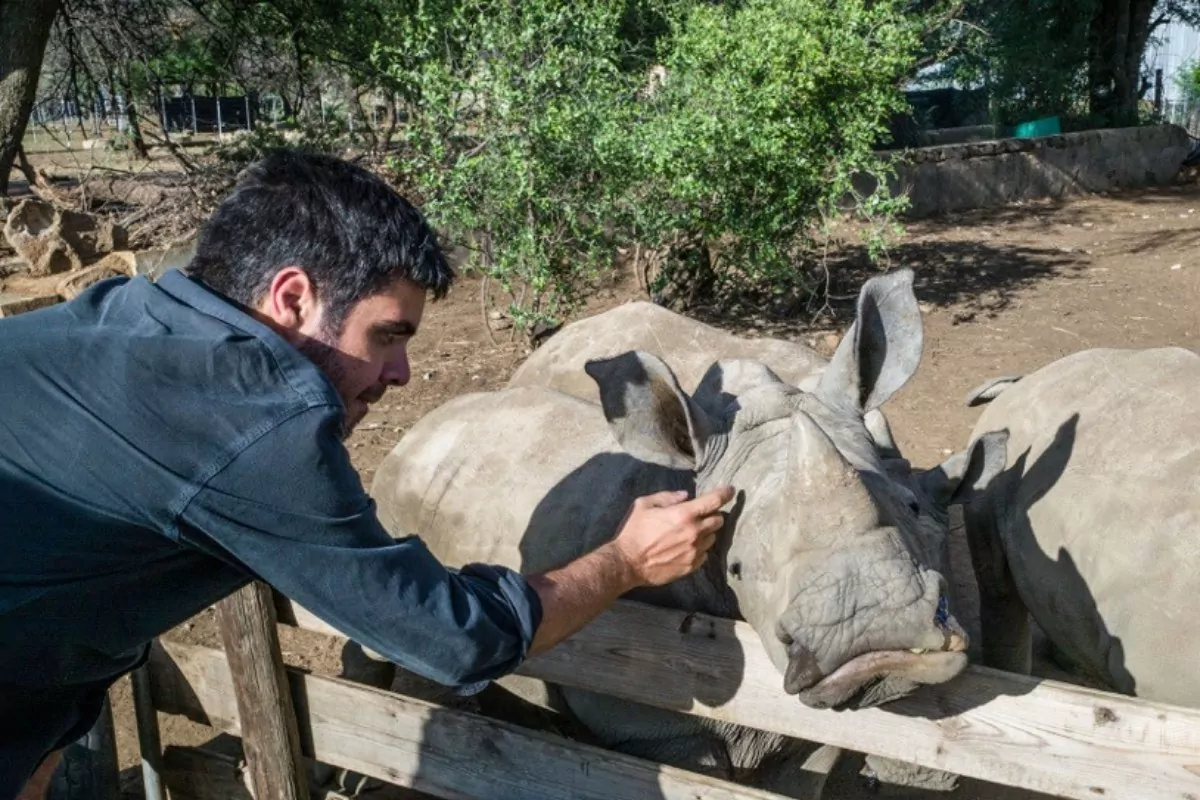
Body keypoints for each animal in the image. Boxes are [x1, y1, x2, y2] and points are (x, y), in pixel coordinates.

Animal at [369, 272, 998, 796]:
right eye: (738, 568)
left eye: (912, 508)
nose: (874, 636)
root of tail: (418, 429)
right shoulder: (642, 717)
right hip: (395, 500)